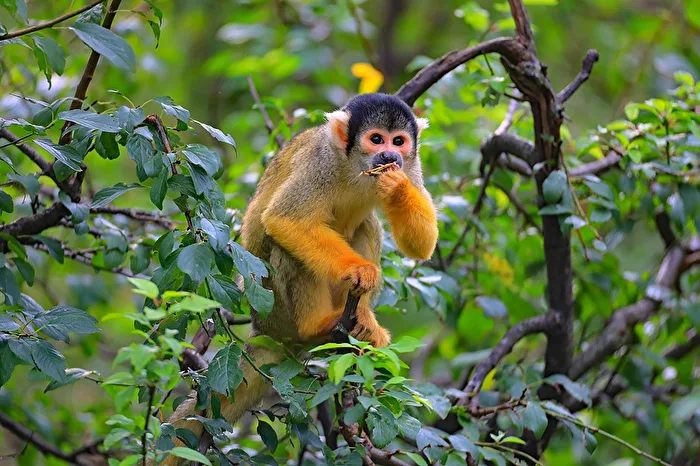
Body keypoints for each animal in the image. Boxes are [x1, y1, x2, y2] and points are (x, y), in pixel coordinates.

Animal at [155, 93, 438, 465]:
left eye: (399, 141)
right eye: (376, 139)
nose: (390, 156)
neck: (355, 168)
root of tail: (265, 332)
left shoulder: (412, 165)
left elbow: (421, 244)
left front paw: (397, 187)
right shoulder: (321, 162)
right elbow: (283, 219)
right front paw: (360, 270)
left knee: (368, 226)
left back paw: (360, 320)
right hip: (275, 310)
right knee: (284, 247)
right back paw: (315, 325)